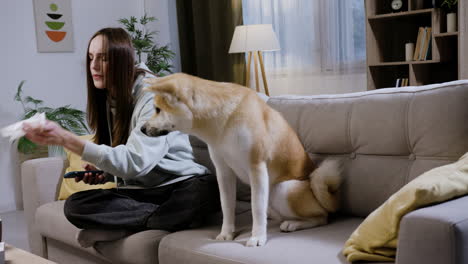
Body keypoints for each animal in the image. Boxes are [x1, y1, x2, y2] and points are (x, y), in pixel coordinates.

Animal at [141, 73, 342, 246]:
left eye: (157, 110)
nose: (142, 129)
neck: (222, 123)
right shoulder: (223, 173)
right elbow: (227, 207)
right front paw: (226, 233)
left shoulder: (257, 168)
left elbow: (256, 208)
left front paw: (258, 237)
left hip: (284, 189)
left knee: (322, 217)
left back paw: (294, 223)